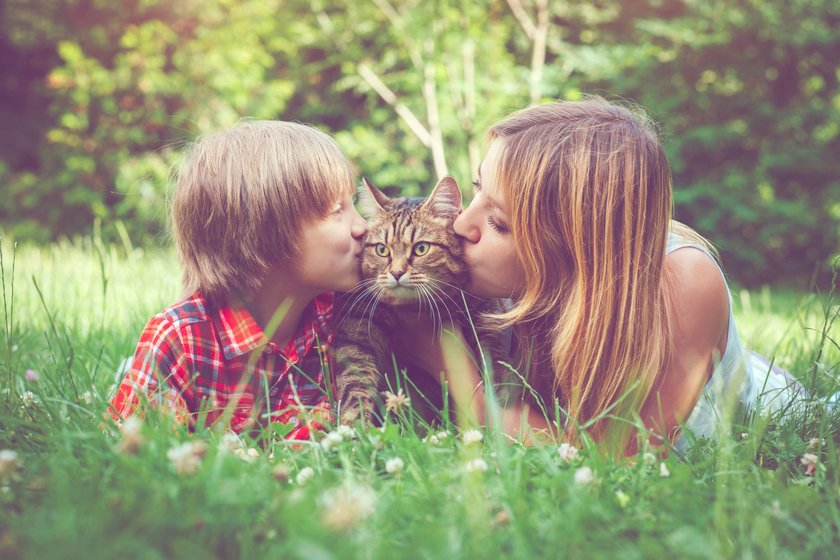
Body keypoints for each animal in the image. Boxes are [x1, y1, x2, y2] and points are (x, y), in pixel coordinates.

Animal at [334, 175, 502, 424]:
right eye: (382, 250)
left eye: (421, 248)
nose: (396, 273)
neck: (413, 310)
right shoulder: (356, 327)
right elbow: (354, 382)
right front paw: (355, 423)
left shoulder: (485, 307)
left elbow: (492, 352)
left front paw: (500, 387)